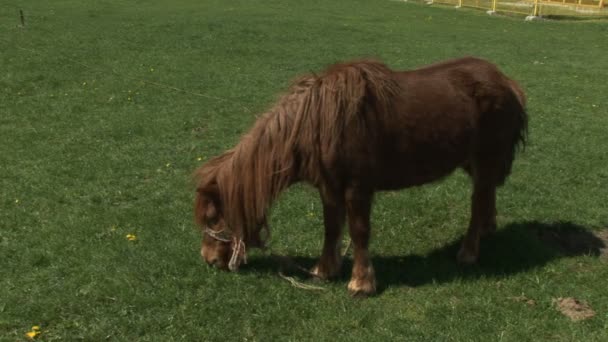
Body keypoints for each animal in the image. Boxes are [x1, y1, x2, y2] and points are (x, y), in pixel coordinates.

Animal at [195, 56, 528, 296]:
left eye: (213, 217)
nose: (208, 259)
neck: (318, 122)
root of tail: (506, 81)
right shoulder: (329, 188)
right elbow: (331, 228)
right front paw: (324, 270)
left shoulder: (357, 188)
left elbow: (358, 231)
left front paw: (361, 283)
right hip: (474, 163)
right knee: (486, 196)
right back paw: (487, 230)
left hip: (485, 160)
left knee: (477, 202)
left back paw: (468, 252)